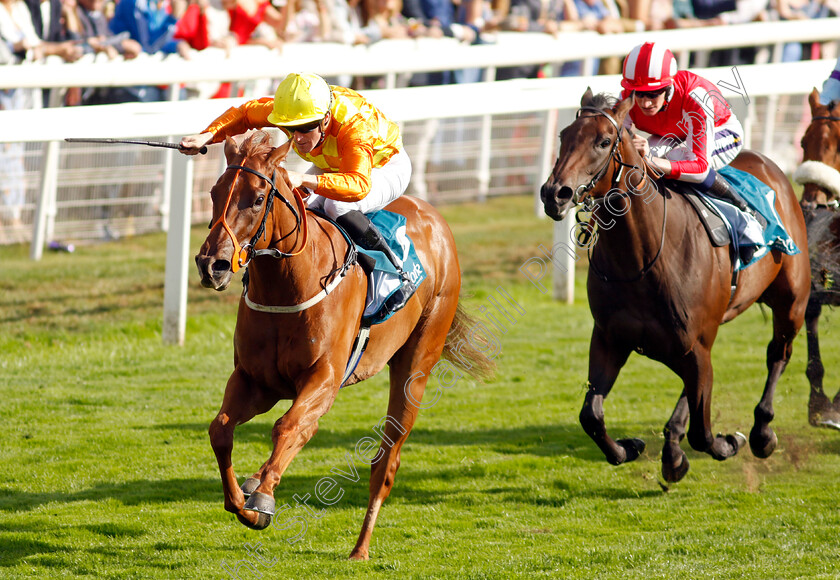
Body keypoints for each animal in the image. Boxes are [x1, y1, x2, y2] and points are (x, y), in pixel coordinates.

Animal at [195, 130, 492, 556]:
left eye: (256, 198)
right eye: (215, 192)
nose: (211, 264)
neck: (290, 284)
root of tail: (434, 218)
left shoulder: (324, 378)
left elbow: (290, 427)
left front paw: (263, 501)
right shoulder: (256, 381)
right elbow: (220, 430)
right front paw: (243, 499)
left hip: (416, 366)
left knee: (386, 463)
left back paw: (360, 548)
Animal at [540, 90, 812, 484]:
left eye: (603, 141)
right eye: (563, 136)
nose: (554, 194)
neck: (641, 259)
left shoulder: (696, 344)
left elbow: (703, 432)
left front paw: (729, 442)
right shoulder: (610, 338)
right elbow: (591, 414)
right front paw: (630, 447)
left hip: (791, 300)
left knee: (778, 353)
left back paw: (762, 433)